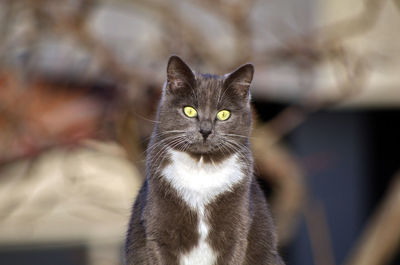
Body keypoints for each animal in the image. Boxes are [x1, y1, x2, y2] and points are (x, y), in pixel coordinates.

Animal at [125, 55, 284, 264]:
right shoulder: (158, 232)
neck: (201, 168)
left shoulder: (237, 233)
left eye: (224, 114)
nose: (206, 130)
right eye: (189, 111)